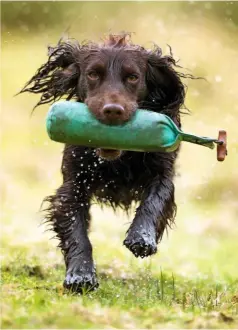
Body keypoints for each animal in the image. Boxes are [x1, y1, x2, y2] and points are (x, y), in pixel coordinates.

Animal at [19, 32, 191, 292]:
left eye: (132, 77)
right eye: (93, 74)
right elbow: (77, 230)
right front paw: (80, 275)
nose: (113, 110)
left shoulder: (162, 173)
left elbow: (155, 200)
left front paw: (141, 238)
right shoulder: (73, 184)